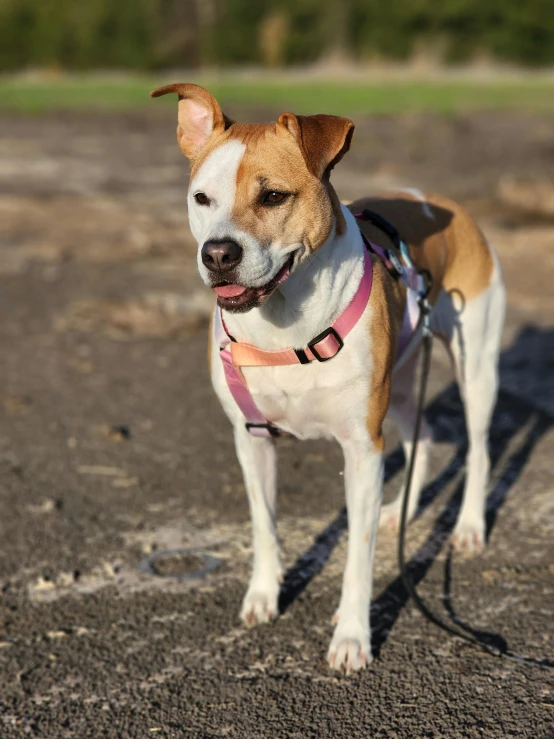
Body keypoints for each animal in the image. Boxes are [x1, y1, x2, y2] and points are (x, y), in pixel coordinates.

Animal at [151, 84, 504, 672]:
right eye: (201, 199)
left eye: (273, 197)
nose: (217, 254)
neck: (283, 322)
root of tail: (441, 200)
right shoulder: (252, 438)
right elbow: (265, 525)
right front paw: (264, 595)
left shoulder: (362, 448)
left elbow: (358, 556)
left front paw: (353, 636)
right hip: (400, 379)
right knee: (425, 435)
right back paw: (400, 513)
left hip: (475, 367)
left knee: (477, 449)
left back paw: (471, 528)